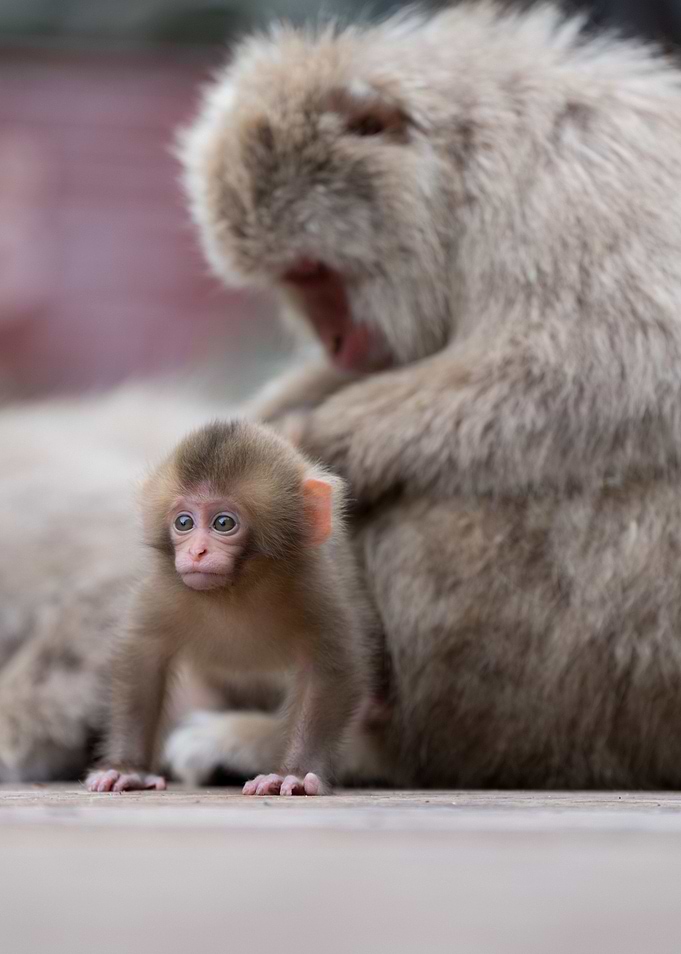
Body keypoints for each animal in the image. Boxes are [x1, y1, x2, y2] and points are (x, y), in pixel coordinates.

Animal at [85, 419, 370, 796]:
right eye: (184, 522)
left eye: (223, 523)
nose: (197, 552)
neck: (234, 591)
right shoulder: (163, 590)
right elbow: (143, 657)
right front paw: (127, 770)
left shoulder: (315, 587)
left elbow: (329, 668)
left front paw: (293, 774)